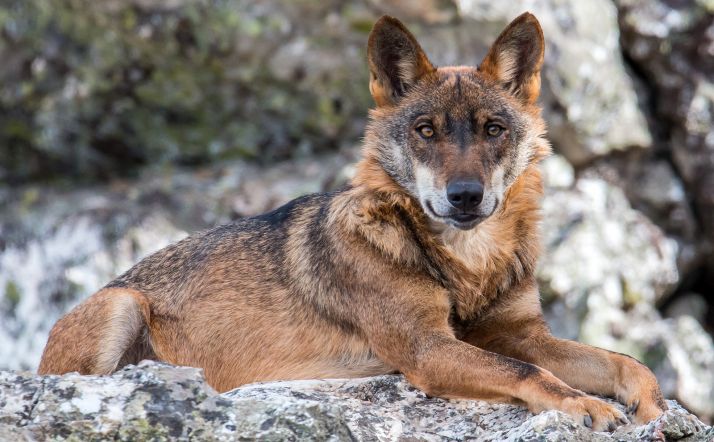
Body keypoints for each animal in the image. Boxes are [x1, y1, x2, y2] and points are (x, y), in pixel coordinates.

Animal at [39, 13, 667, 431]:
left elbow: (622, 360)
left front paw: (651, 403)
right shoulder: (425, 349)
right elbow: (528, 375)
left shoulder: (522, 334)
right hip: (120, 305)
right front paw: (584, 404)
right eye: (426, 130)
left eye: (493, 129)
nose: (465, 196)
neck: (467, 264)